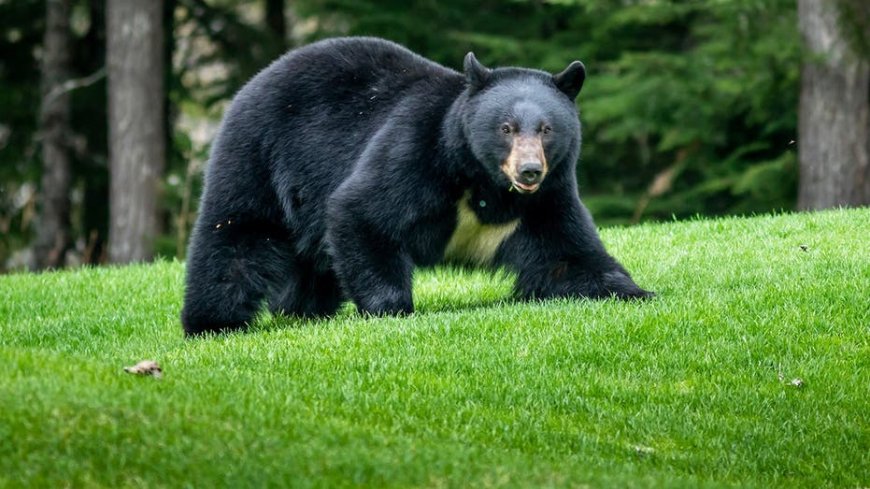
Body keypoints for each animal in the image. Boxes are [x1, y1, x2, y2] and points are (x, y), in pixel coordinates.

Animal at [181, 37, 652, 336]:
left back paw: (302, 310)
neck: (484, 182)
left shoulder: (548, 198)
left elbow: (569, 254)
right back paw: (212, 323)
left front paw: (635, 291)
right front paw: (391, 309)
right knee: (235, 236)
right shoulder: (416, 151)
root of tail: (256, 78)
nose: (530, 170)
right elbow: (362, 211)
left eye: (547, 129)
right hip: (259, 154)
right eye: (506, 128)